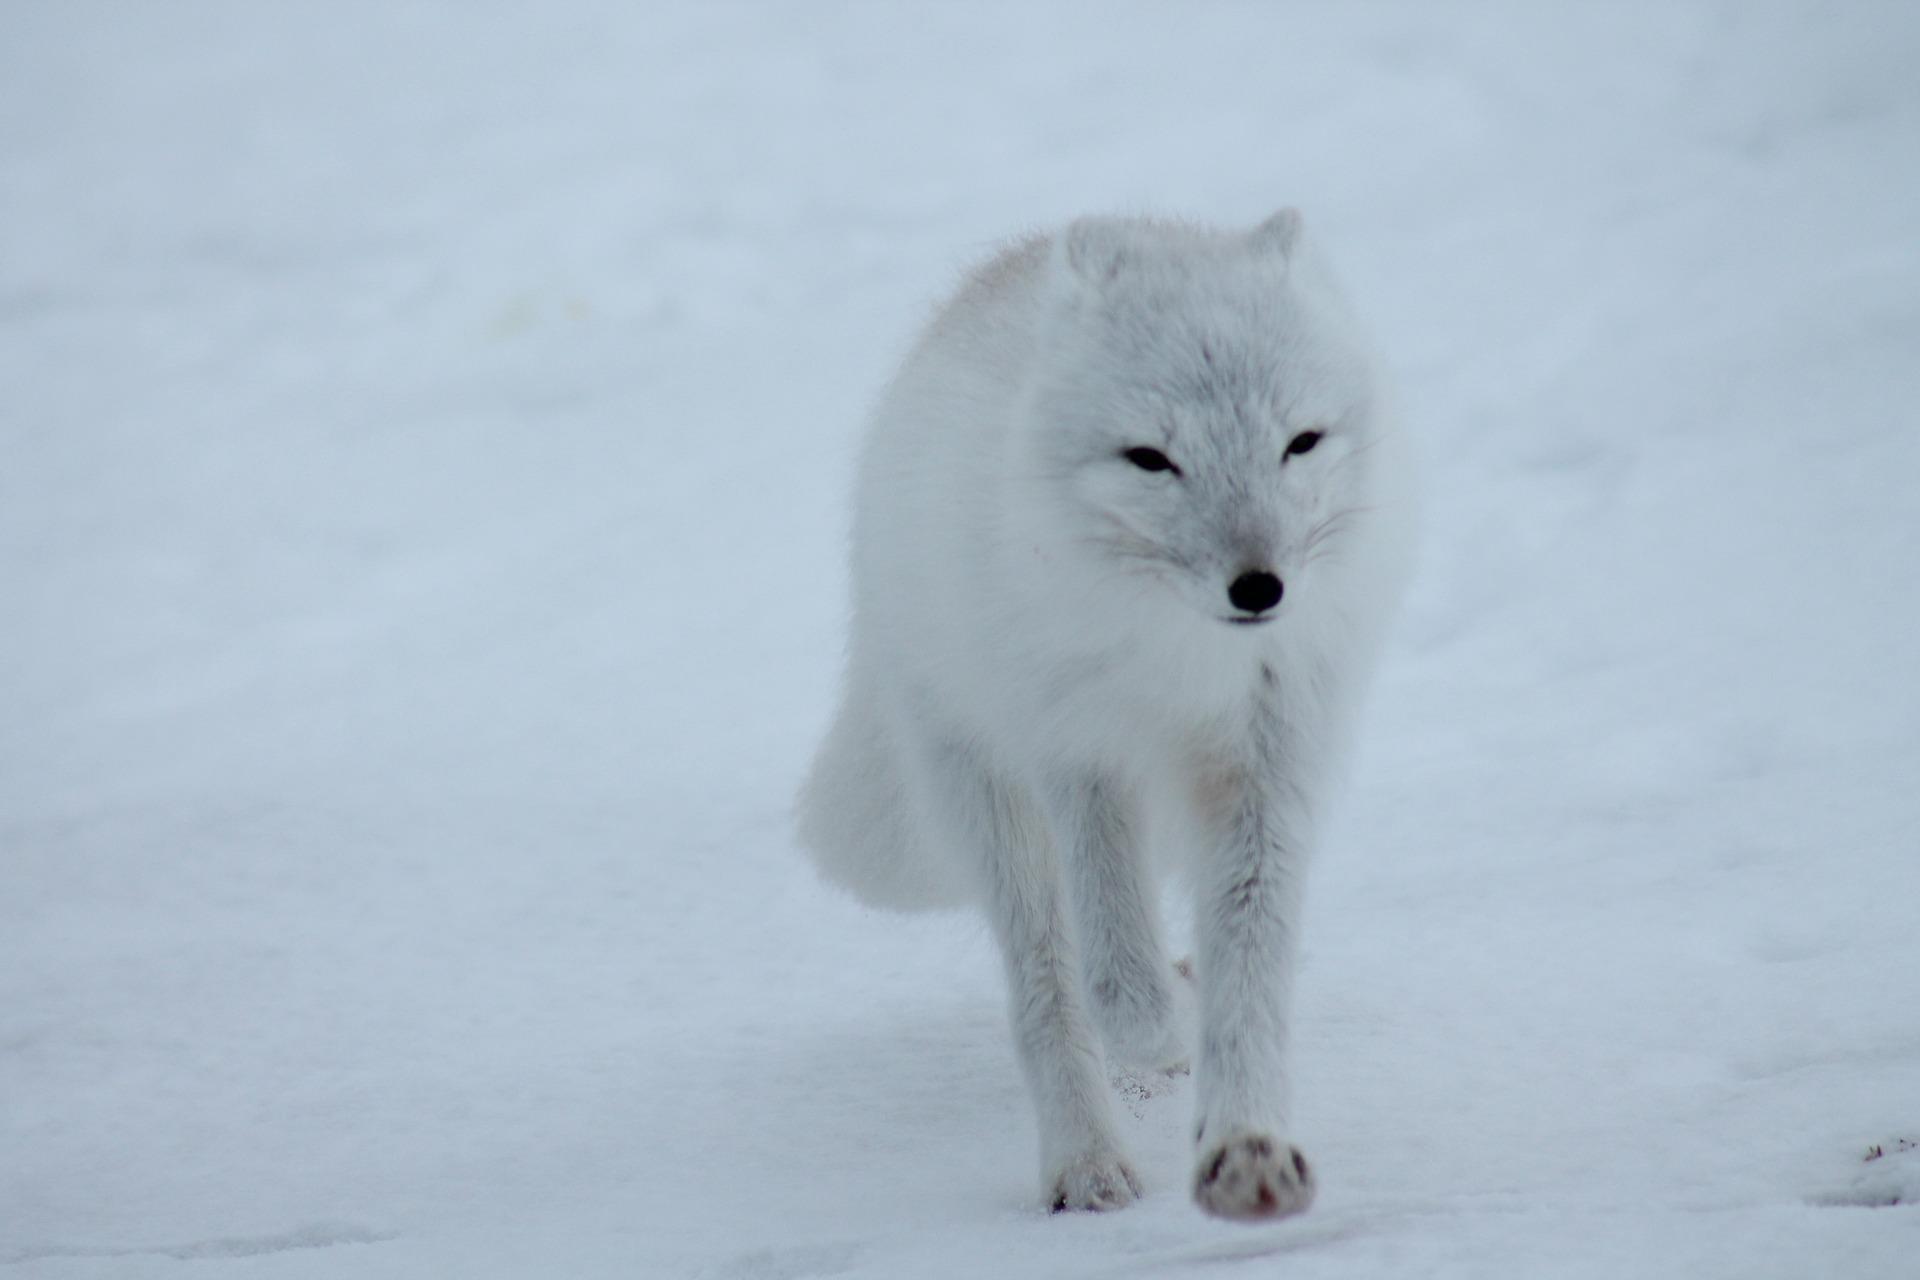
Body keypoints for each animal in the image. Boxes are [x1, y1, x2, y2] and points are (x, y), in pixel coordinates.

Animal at [797, 212, 1413, 1220]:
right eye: (1151, 459)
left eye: (1301, 442)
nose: (1260, 587)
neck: (1184, 658)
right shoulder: (1080, 757)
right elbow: (1119, 985)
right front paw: (1168, 1032)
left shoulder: (1267, 762)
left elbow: (1252, 966)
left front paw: (1247, 1150)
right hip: (991, 801)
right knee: (1050, 986)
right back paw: (1085, 1166)